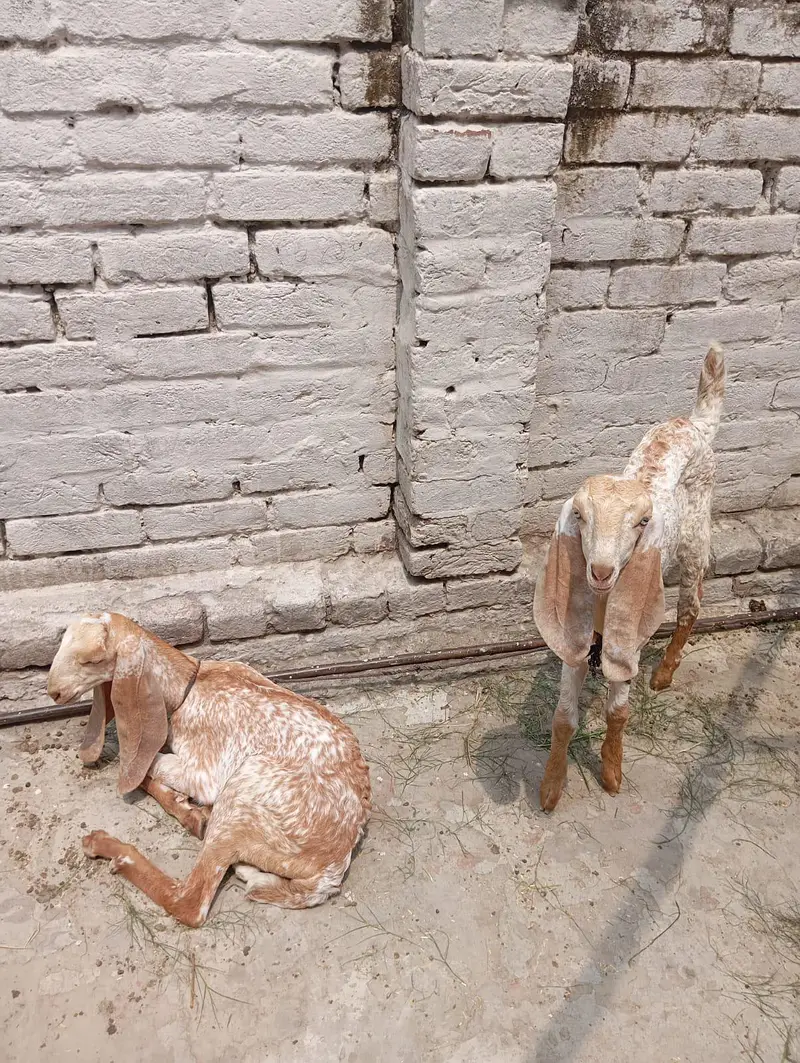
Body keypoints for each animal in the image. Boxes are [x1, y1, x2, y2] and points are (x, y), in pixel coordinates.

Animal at [47, 613, 371, 926]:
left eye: (91, 660)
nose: (53, 692)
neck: (189, 686)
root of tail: (333, 864)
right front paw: (188, 811)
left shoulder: (203, 773)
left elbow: (142, 766)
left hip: (243, 793)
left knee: (189, 902)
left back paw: (105, 846)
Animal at [533, 345, 725, 812]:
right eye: (579, 515)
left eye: (642, 522)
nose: (601, 571)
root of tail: (692, 423)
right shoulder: (576, 635)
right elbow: (563, 716)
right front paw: (551, 788)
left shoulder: (628, 635)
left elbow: (618, 711)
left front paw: (611, 773)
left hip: (696, 536)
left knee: (692, 604)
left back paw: (664, 674)